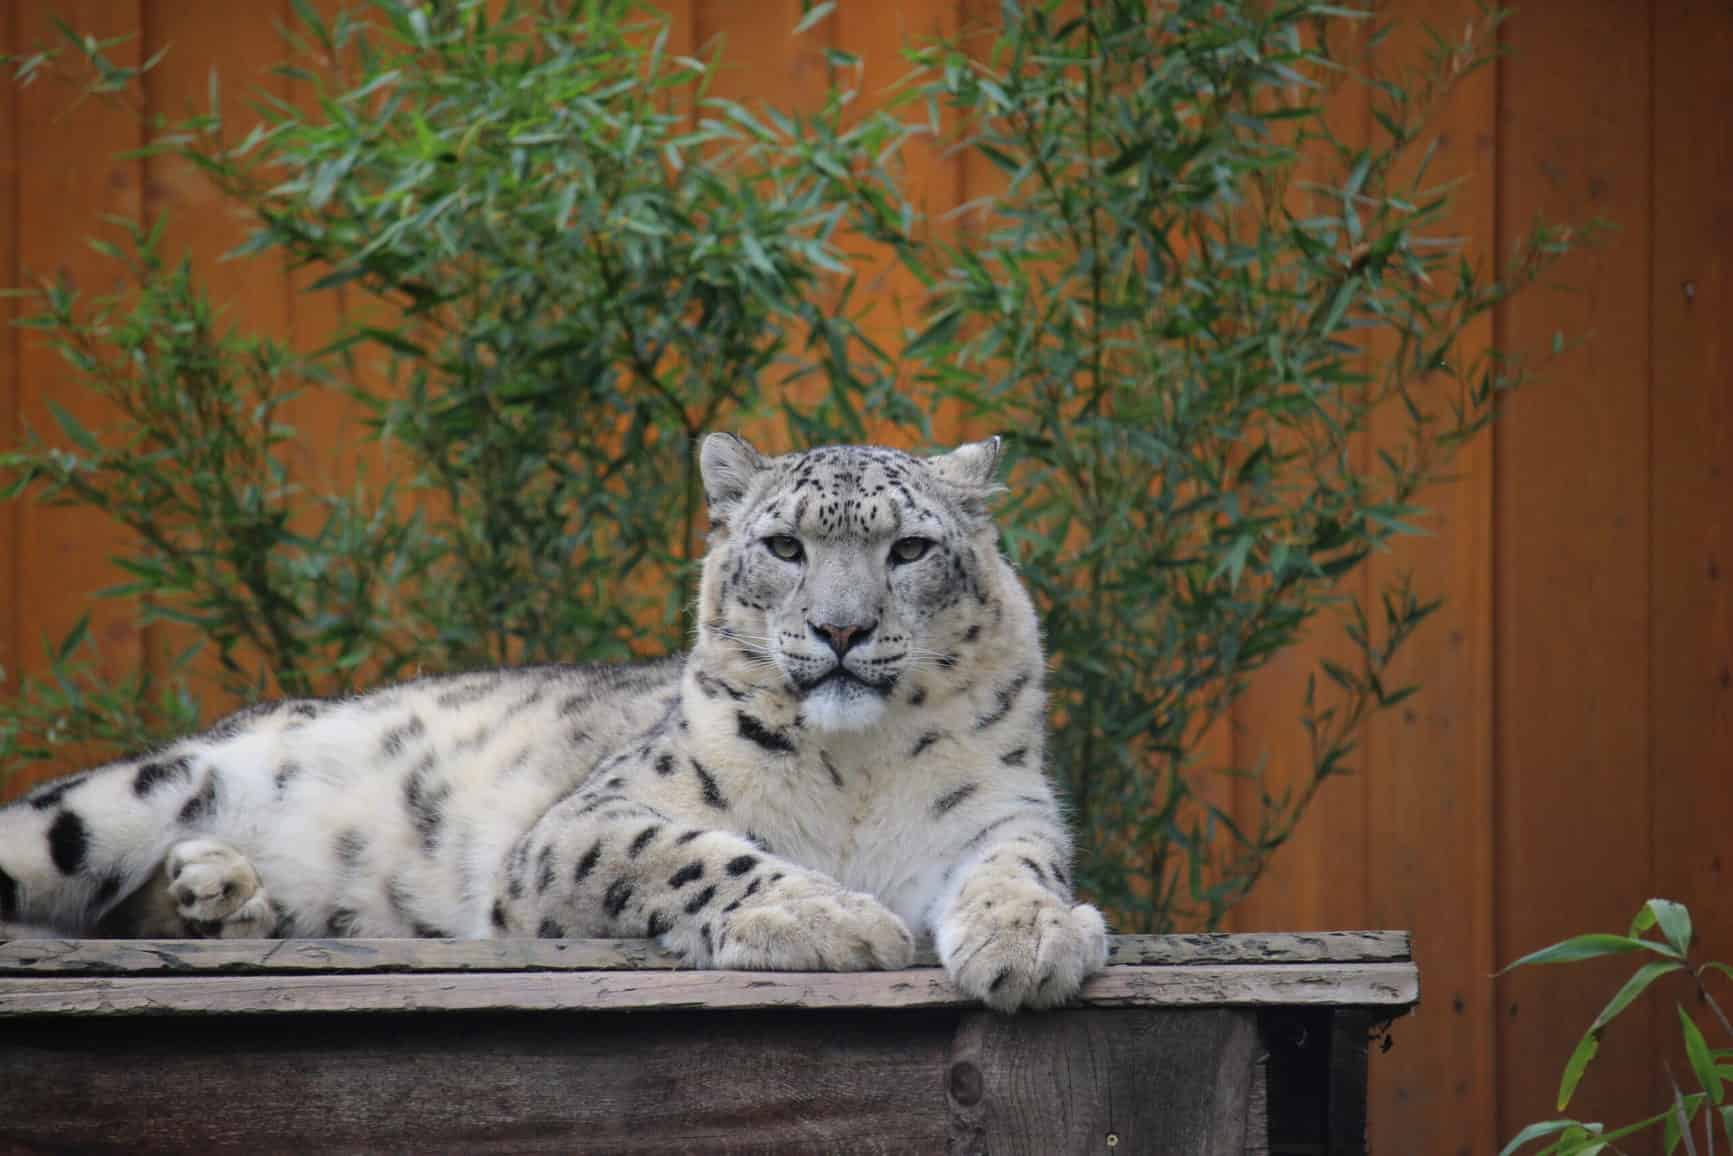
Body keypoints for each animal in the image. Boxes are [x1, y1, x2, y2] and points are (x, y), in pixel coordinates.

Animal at [0, 433, 1109, 1012]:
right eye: (783, 545)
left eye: (910, 547)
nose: (842, 629)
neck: (858, 768)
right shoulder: (588, 822)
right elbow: (694, 853)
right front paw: (832, 919)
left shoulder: (1002, 811)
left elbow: (1018, 866)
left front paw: (1033, 937)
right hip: (116, 802)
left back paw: (219, 890)